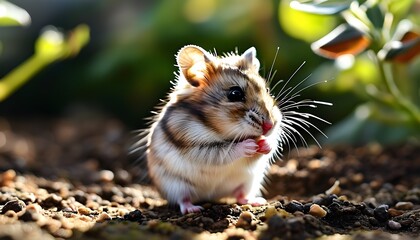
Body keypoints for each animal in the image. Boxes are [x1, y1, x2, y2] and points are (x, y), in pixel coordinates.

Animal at [141, 45, 324, 214]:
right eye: (235, 94)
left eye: (266, 90)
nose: (270, 126)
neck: (222, 130)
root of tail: (213, 196)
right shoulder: (196, 147)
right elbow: (224, 151)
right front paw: (249, 145)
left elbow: (266, 148)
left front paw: (265, 144)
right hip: (175, 186)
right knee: (183, 199)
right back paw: (192, 209)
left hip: (249, 181)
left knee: (240, 195)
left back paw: (257, 201)